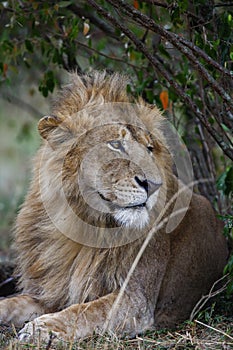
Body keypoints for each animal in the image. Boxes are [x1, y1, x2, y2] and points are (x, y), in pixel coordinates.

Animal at [0, 70, 228, 342]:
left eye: (149, 149)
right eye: (116, 145)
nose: (154, 184)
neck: (84, 224)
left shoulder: (135, 300)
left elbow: (83, 311)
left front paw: (41, 328)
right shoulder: (49, 292)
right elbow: (11, 302)